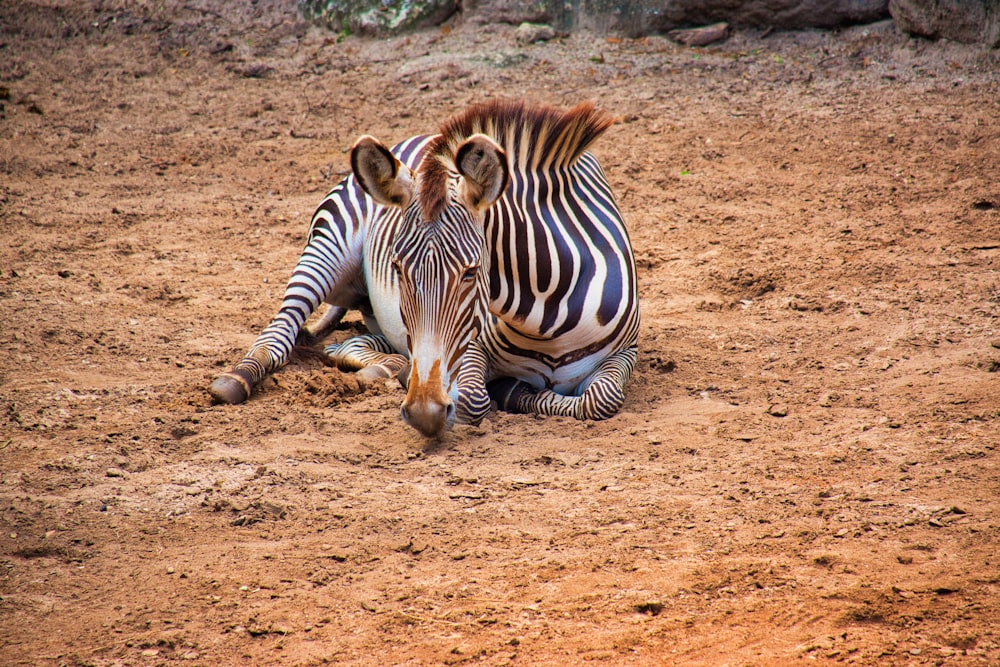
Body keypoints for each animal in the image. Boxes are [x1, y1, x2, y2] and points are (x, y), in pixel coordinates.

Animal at [211, 99, 640, 438]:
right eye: (398, 269)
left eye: (471, 273)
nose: (422, 411)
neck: (545, 321)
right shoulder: (471, 349)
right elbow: (473, 398)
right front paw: (508, 392)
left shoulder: (626, 352)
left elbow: (602, 398)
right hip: (328, 243)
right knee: (280, 331)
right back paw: (237, 378)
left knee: (353, 344)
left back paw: (386, 368)